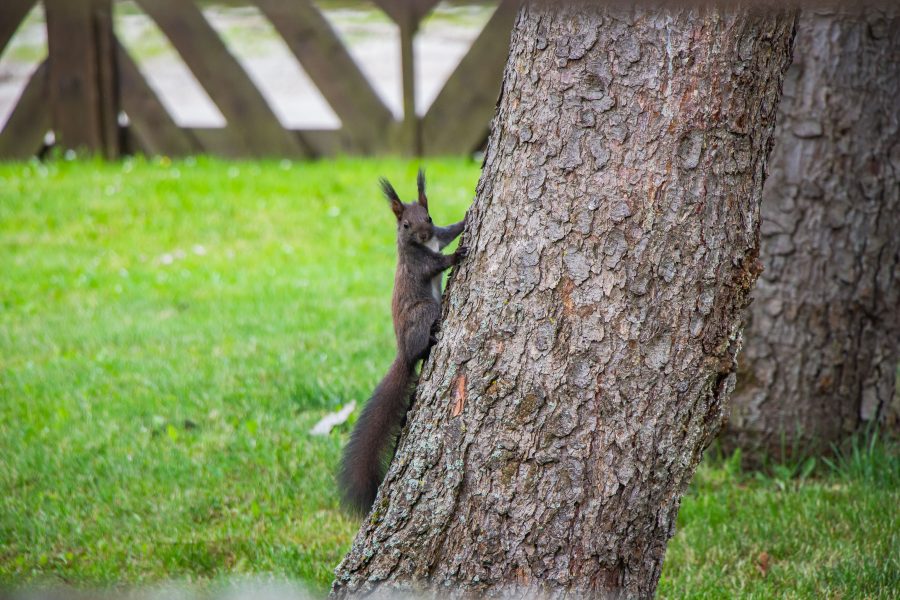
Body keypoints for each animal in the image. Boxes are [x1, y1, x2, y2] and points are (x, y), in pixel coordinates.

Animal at [336, 170, 468, 516]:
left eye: (429, 217)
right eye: (406, 225)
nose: (423, 234)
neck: (420, 245)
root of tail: (404, 353)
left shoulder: (439, 234)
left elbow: (450, 231)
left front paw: (465, 219)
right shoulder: (418, 263)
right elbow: (436, 264)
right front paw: (456, 255)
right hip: (423, 311)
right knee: (423, 342)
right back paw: (431, 340)